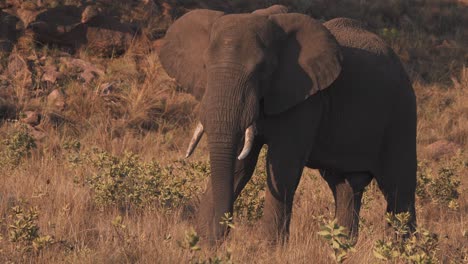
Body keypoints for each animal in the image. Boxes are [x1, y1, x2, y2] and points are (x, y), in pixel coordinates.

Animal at [159, 5, 414, 244]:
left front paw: (268, 249)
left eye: (261, 69)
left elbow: (282, 165)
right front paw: (204, 243)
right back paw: (342, 248)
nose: (221, 233)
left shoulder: (306, 98)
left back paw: (402, 250)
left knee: (398, 188)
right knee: (346, 187)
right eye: (205, 66)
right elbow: (239, 164)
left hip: (401, 111)